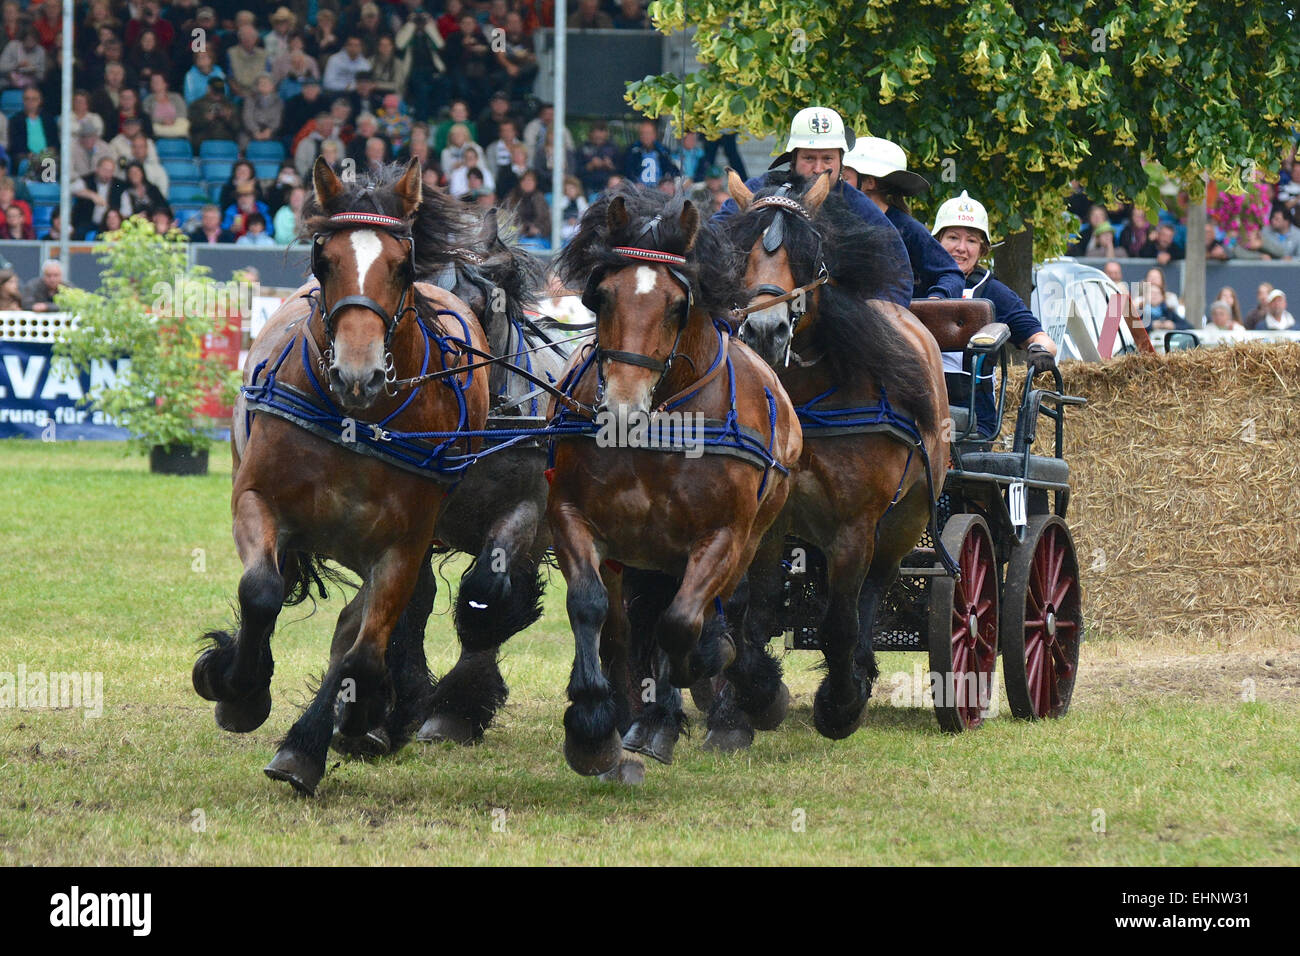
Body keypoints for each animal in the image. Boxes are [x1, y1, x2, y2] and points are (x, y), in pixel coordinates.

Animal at [195, 157, 488, 796]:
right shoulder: (257, 500)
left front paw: (354, 716)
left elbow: (362, 649)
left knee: (354, 632)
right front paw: (238, 689)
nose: (359, 375)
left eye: (402, 266)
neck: (356, 422)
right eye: (322, 261)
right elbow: (261, 591)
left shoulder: (403, 547)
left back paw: (313, 742)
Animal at [548, 184, 800, 780]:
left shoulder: (723, 536)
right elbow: (589, 605)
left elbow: (683, 624)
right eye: (602, 297)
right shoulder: (571, 515)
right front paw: (590, 726)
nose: (621, 409)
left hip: (750, 535)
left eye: (676, 306)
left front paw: (707, 668)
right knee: (628, 622)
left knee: (713, 609)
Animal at [717, 171, 951, 749]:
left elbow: (840, 622)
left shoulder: (855, 524)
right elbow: (755, 612)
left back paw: (859, 674)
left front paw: (840, 704)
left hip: (904, 520)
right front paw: (759, 691)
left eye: (808, 253)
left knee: (873, 592)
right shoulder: (770, 520)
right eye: (739, 253)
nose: (765, 330)